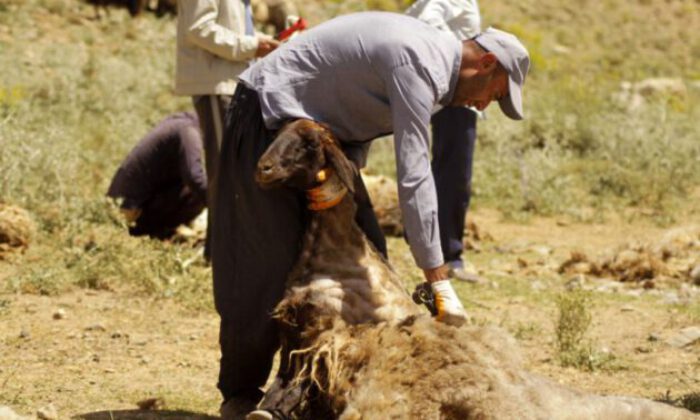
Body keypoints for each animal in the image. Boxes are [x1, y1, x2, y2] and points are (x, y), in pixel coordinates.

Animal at [250, 119, 696, 420]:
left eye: (308, 144)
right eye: (278, 134)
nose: (262, 169)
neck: (332, 247)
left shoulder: (317, 337)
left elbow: (289, 387)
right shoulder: (296, 337)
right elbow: (282, 385)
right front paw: (266, 409)